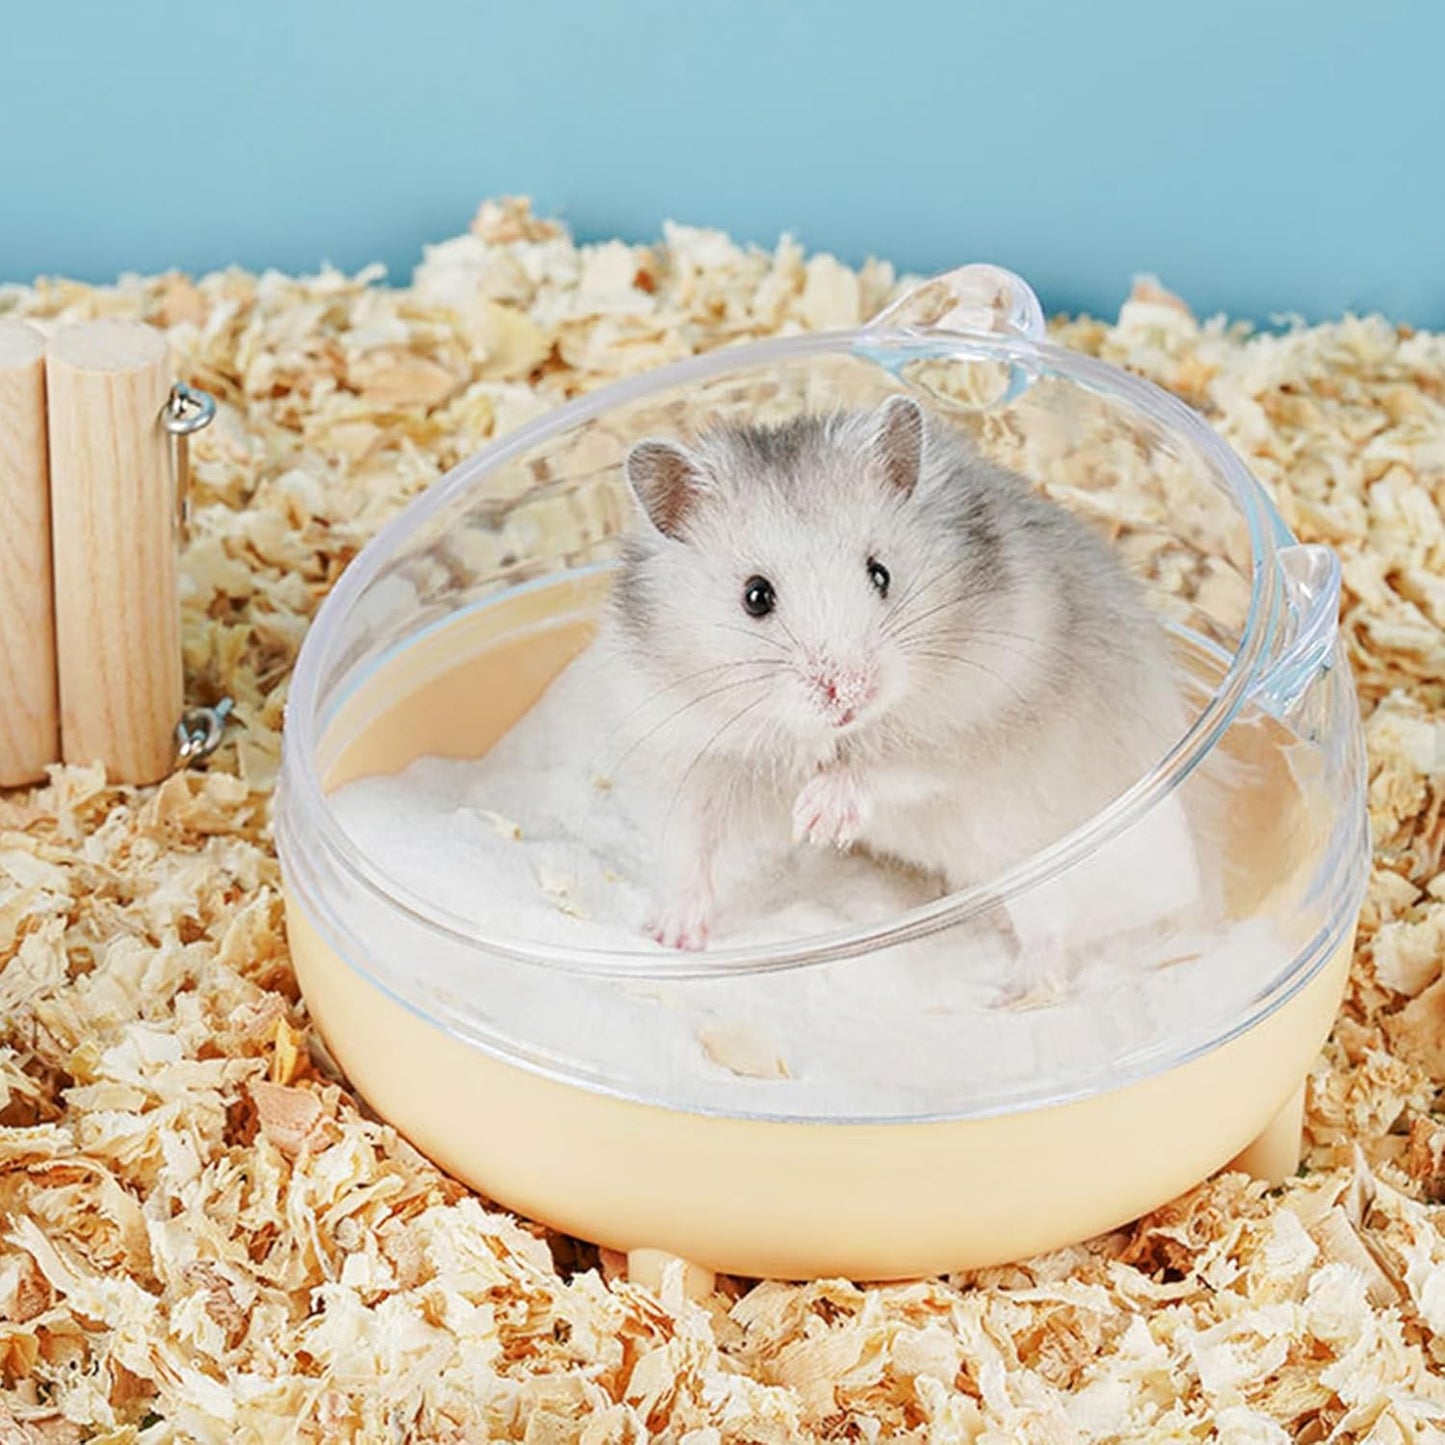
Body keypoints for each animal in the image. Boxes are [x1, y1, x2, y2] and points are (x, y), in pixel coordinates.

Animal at [604, 395, 1196, 967]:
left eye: (880, 573)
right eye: (756, 596)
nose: (850, 693)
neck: (830, 733)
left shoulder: (976, 719)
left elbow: (897, 764)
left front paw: (818, 817)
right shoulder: (687, 753)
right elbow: (690, 850)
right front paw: (674, 939)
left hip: (1050, 857)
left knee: (1054, 929)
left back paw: (1017, 987)